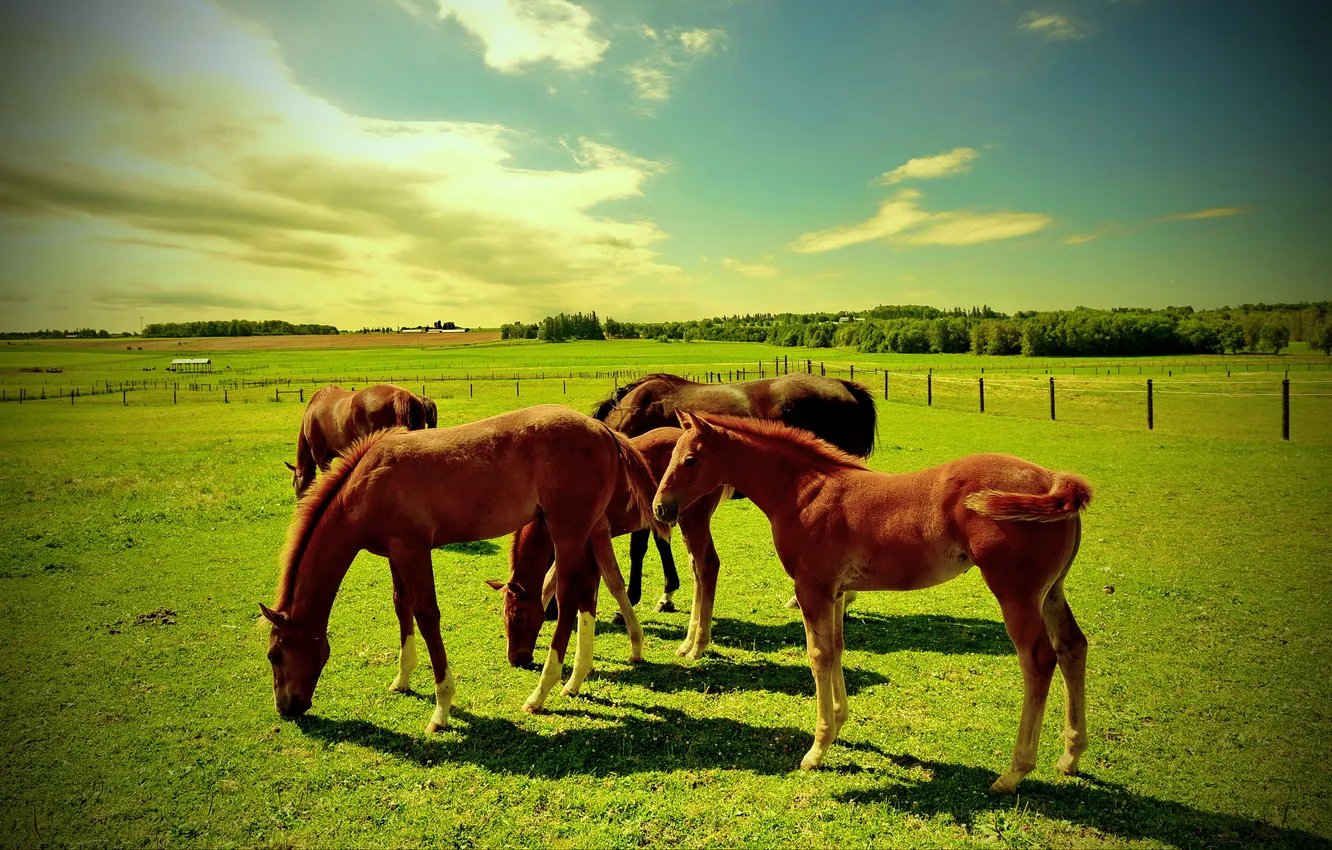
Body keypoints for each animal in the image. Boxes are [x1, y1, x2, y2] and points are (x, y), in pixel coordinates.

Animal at [259, 405, 668, 732]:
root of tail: (604, 431)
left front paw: (441, 708)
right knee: (587, 595)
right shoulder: (395, 553)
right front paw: (402, 678)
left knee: (567, 604)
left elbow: (426, 616)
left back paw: (540, 694)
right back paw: (575, 681)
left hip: (567, 532)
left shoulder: (413, 550)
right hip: (591, 528)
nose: (286, 708)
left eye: (274, 655)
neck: (367, 484)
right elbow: (401, 606)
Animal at [489, 426, 731, 667]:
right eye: (503, 616)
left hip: (694, 520)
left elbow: (613, 582)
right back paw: (688, 640)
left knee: (708, 566)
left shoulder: (594, 536)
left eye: (518, 617)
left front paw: (635, 645)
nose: (516, 659)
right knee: (697, 570)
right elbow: (550, 581)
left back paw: (698, 645)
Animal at [652, 411, 1092, 794]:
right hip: (1051, 592)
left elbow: (818, 656)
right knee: (1073, 647)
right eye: (670, 457)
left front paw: (817, 749)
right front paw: (839, 722)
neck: (804, 493)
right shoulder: (835, 591)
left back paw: (1013, 773)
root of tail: (1053, 480)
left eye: (690, 459)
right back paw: (1070, 757)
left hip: (1016, 594)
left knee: (1039, 661)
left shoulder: (812, 588)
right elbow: (837, 648)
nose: (660, 507)